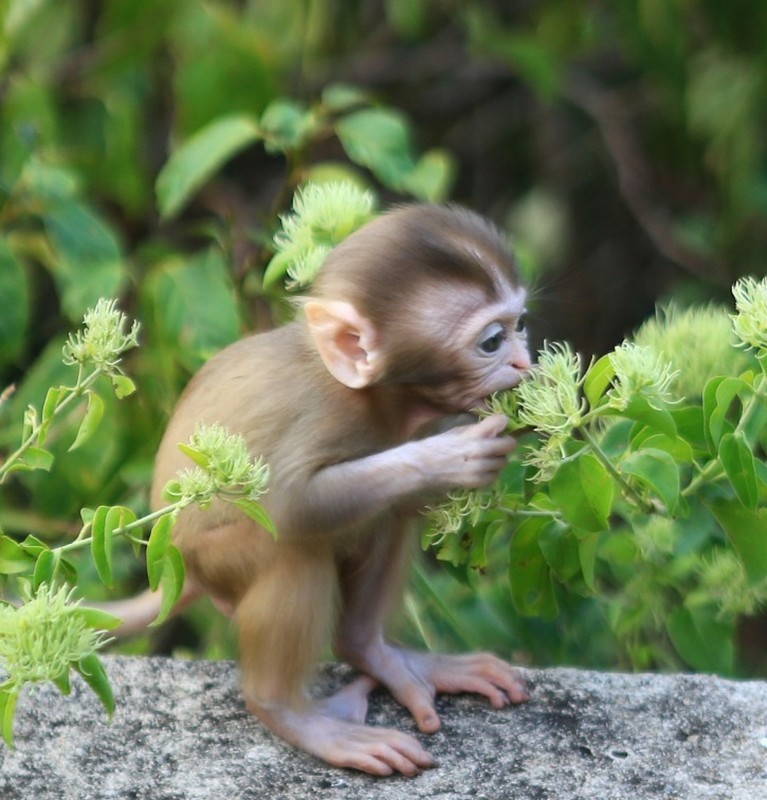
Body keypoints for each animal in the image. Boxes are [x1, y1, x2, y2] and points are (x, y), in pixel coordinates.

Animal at [117, 203, 532, 780]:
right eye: (492, 341)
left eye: (521, 325)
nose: (525, 361)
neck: (378, 397)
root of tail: (175, 565)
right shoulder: (324, 413)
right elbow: (291, 507)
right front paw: (450, 457)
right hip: (214, 559)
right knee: (292, 548)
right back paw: (291, 713)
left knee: (386, 514)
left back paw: (372, 649)